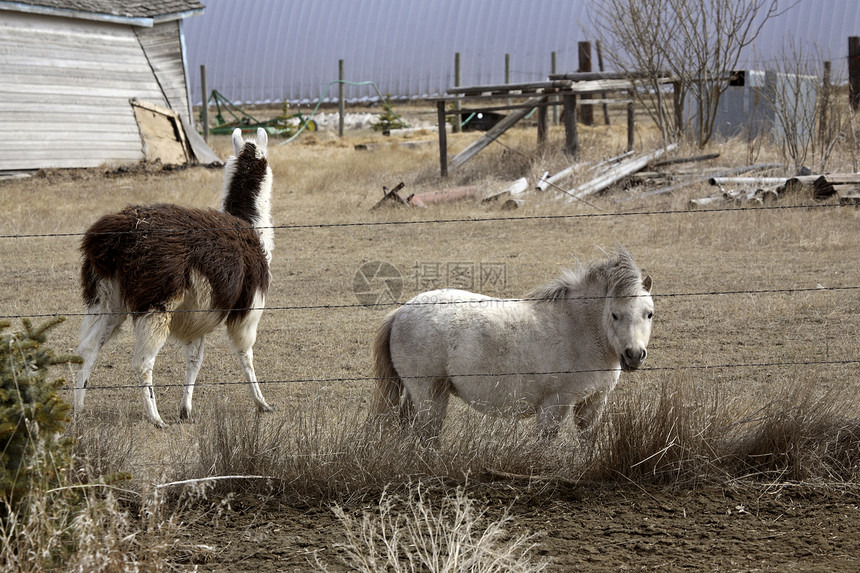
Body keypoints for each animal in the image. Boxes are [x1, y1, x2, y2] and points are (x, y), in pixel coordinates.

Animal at [77, 128, 274, 424]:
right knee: (143, 362)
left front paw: (186, 409)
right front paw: (262, 403)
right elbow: (245, 354)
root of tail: (116, 236)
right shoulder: (248, 308)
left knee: (87, 349)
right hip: (156, 302)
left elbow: (194, 360)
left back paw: (76, 409)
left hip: (106, 298)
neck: (251, 225)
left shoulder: (200, 313)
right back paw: (155, 418)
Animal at [372, 248, 652, 440]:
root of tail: (400, 312)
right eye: (614, 315)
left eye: (649, 313)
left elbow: (587, 441)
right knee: (426, 434)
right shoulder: (555, 404)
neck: (578, 327)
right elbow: (545, 442)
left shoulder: (593, 402)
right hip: (430, 393)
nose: (634, 355)